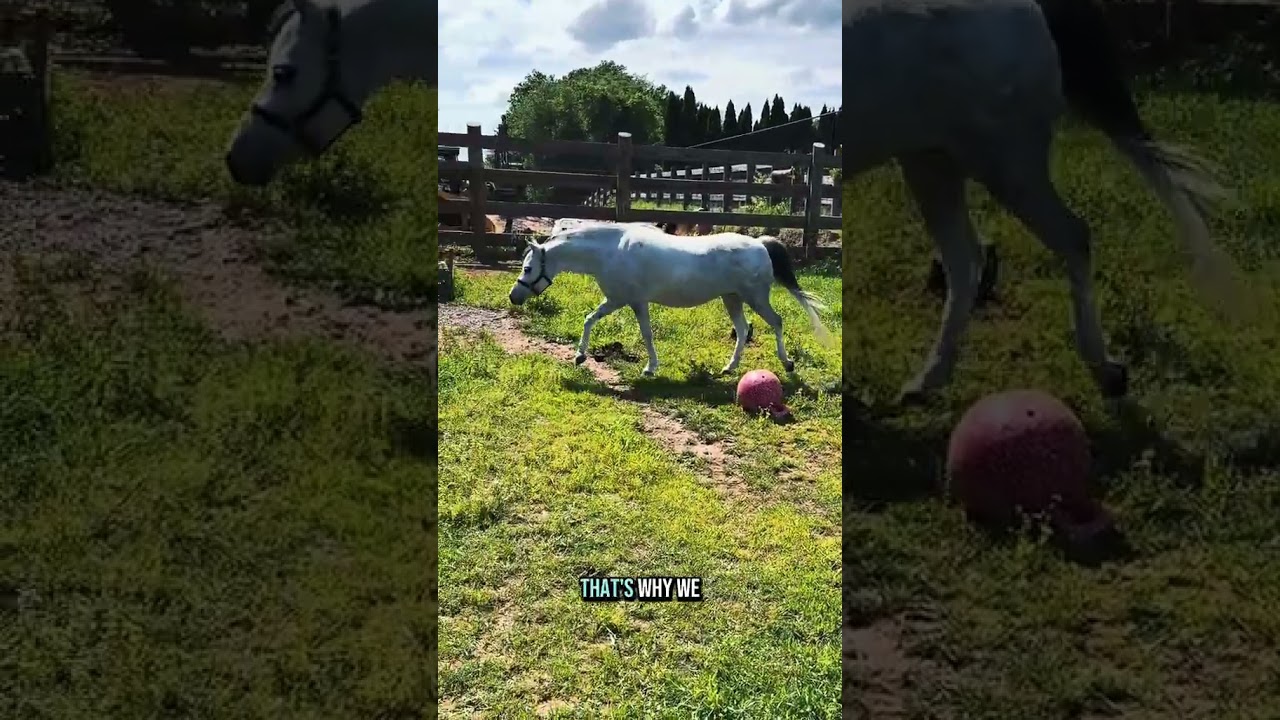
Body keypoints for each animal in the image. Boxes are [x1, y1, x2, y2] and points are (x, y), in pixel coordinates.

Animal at [508, 224, 833, 377]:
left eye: (527, 268)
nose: (514, 297)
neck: (611, 251)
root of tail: (760, 244)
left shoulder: (628, 301)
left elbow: (645, 334)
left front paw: (649, 368)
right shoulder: (618, 300)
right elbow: (590, 319)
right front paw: (579, 356)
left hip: (755, 298)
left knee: (777, 322)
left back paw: (787, 363)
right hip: (732, 299)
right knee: (742, 331)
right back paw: (728, 368)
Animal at [844, 0, 1241, 403]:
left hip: (1004, 161)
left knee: (1070, 237)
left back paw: (1104, 370)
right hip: (932, 160)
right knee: (964, 260)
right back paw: (927, 381)